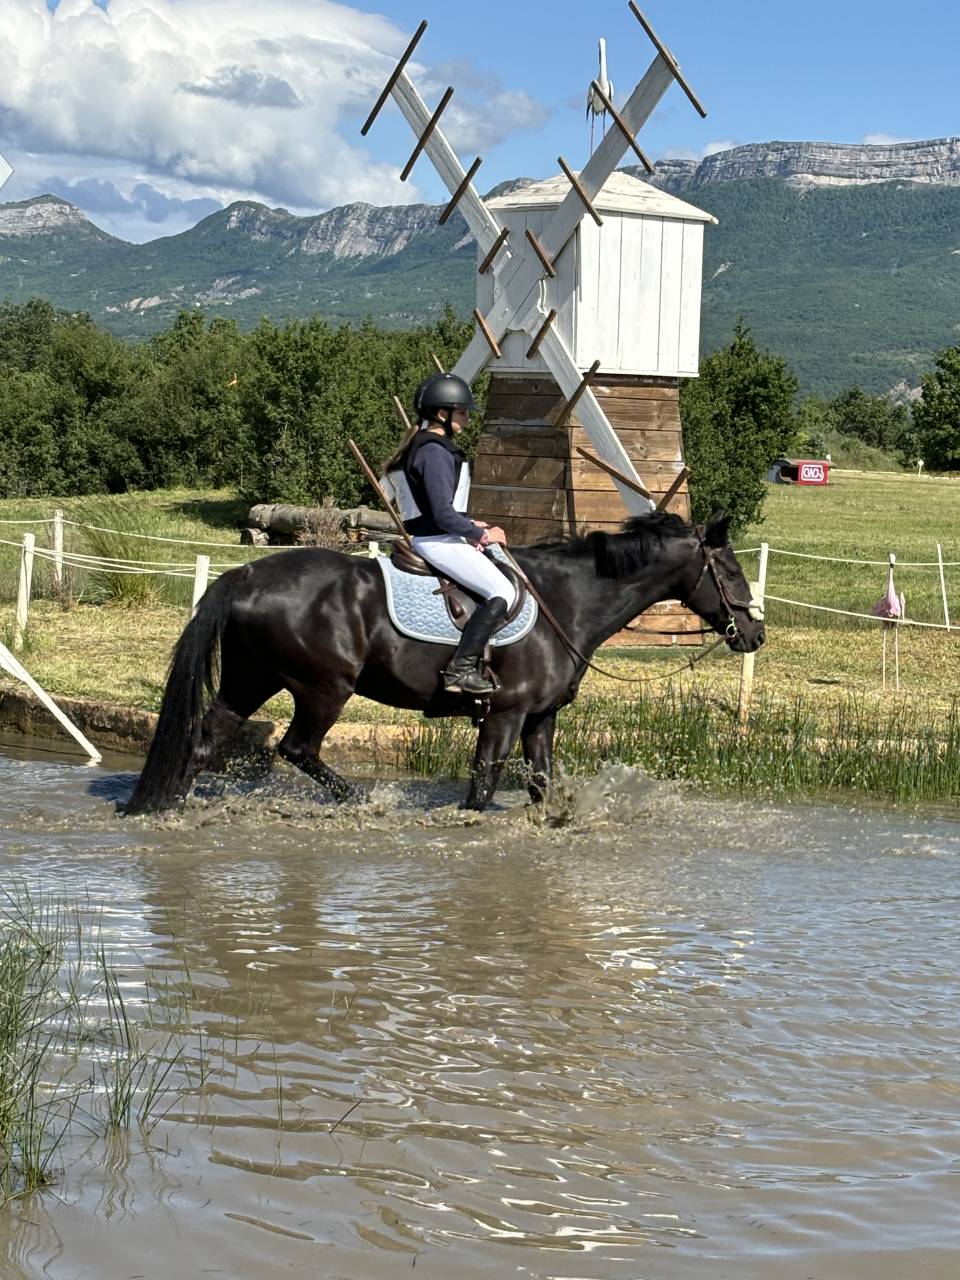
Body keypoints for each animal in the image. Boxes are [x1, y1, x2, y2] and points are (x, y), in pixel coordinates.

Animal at [124, 512, 764, 816]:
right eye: (732, 570)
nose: (755, 633)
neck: (567, 600)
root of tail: (245, 574)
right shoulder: (504, 715)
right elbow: (481, 788)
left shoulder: (540, 718)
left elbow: (541, 784)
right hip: (323, 688)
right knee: (297, 748)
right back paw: (362, 804)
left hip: (249, 680)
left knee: (203, 744)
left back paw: (165, 810)